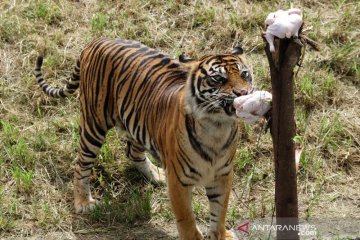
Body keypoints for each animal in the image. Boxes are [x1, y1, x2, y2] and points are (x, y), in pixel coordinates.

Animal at [33, 37, 253, 240]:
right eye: (218, 79)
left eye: (244, 74)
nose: (243, 93)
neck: (216, 127)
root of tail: (97, 40)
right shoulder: (178, 181)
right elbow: (187, 218)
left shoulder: (222, 175)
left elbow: (220, 211)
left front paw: (221, 235)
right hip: (93, 124)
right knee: (81, 163)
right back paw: (84, 203)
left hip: (138, 124)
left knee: (131, 151)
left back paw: (156, 175)